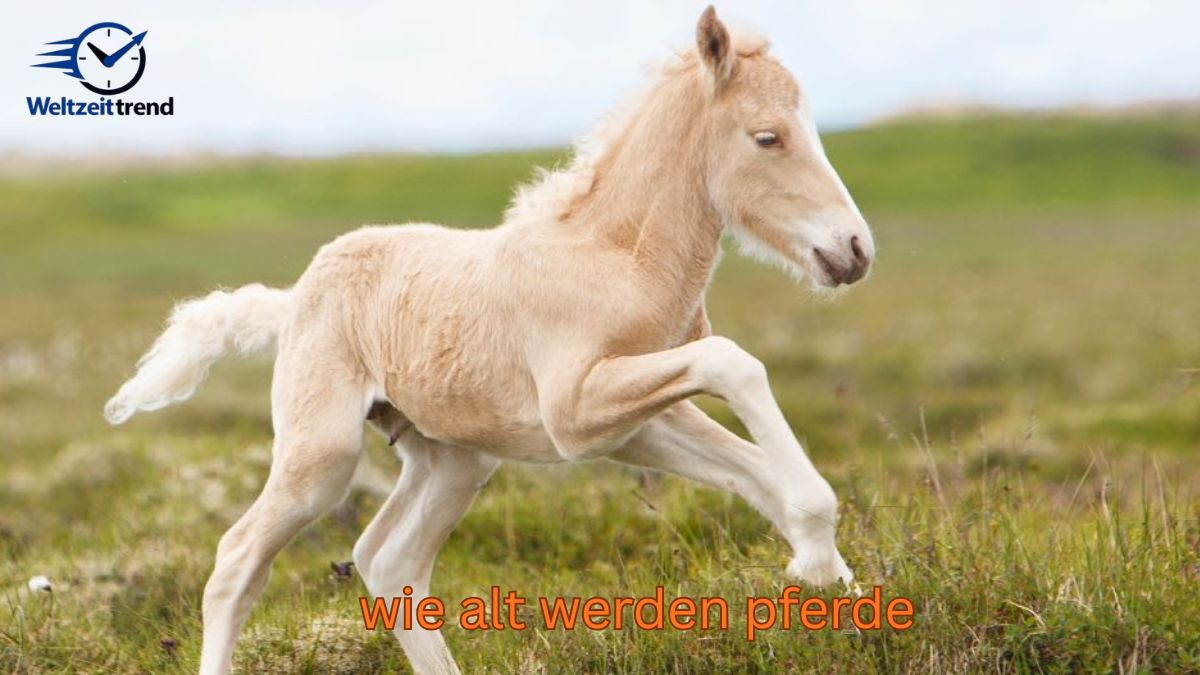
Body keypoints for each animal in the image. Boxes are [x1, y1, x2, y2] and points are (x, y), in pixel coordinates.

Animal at [104, 7, 874, 673]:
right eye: (768, 136)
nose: (855, 249)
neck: (617, 260)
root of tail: (293, 299)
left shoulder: (637, 423)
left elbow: (749, 468)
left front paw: (827, 574)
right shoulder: (577, 412)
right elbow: (735, 366)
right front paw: (817, 552)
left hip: (453, 459)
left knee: (389, 561)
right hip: (321, 454)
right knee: (238, 560)